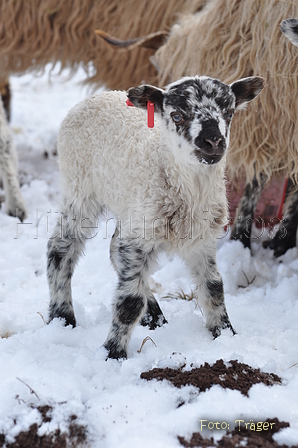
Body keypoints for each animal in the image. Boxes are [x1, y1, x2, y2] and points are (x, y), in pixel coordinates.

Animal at [46, 74, 264, 360]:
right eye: (177, 115)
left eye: (229, 112)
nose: (214, 142)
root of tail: (96, 96)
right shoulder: (140, 235)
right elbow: (129, 302)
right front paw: (113, 353)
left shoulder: (202, 239)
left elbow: (214, 286)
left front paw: (225, 334)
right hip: (80, 189)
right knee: (61, 248)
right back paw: (62, 318)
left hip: (132, 210)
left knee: (115, 251)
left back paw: (155, 317)